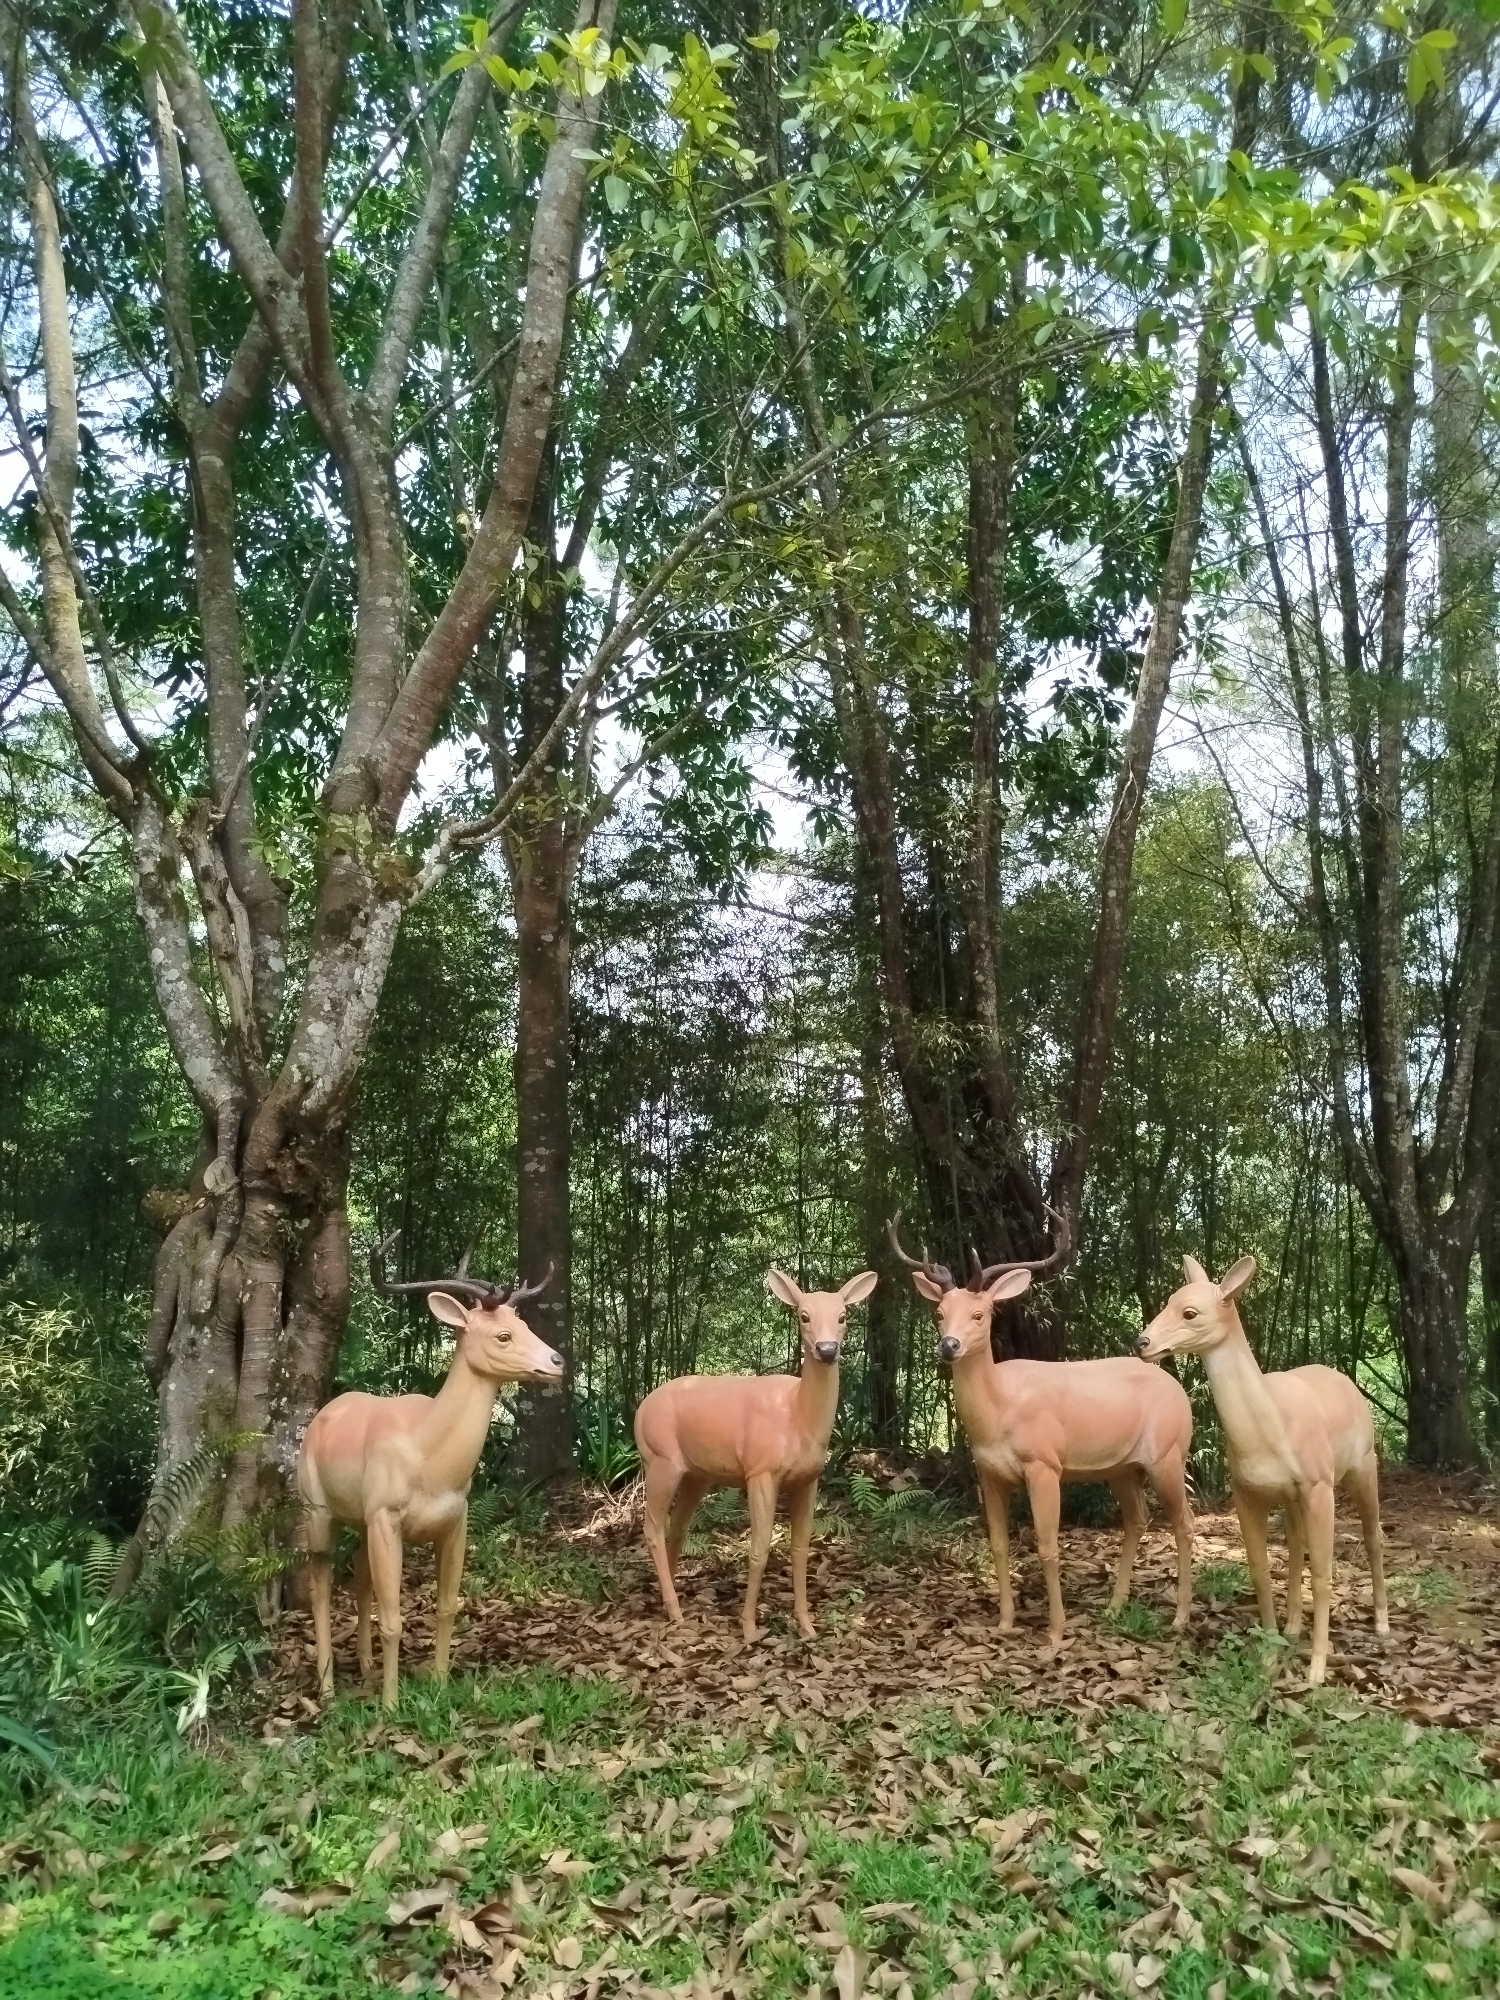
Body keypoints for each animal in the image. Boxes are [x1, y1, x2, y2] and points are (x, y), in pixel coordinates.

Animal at [297, 1232, 563, 1707]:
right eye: (503, 1335)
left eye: (525, 1325)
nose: (558, 1362)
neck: (429, 1460)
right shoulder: (387, 1516)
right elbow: (393, 1620)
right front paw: (390, 1704)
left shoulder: (454, 1521)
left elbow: (445, 1606)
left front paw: (438, 1686)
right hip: (316, 1509)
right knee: (321, 1586)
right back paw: (327, 1690)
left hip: (361, 1520)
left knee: (359, 1578)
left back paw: (365, 1669)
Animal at [633, 1266, 878, 1642]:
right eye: (803, 1315)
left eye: (843, 1316)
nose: (826, 1349)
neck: (797, 1417)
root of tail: (639, 1411)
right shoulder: (761, 1471)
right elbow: (759, 1548)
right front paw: (748, 1627)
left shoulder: (808, 1479)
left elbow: (800, 1548)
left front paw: (807, 1626)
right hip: (660, 1458)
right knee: (652, 1526)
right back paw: (675, 1612)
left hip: (696, 1473)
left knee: (677, 1527)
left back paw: (667, 1597)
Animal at [890, 1215, 1194, 1659]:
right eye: (940, 1313)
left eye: (981, 1314)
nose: (949, 1344)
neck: (999, 1411)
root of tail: (1182, 1393)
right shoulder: (989, 1474)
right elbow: (998, 1544)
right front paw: (1004, 1623)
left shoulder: (1044, 1463)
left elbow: (1048, 1546)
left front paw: (1055, 1633)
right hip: (1123, 1466)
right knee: (1137, 1519)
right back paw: (1115, 1605)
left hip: (1170, 1452)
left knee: (1184, 1522)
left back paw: (1181, 1617)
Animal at [1136, 1254, 1387, 1687]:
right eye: (1167, 1301)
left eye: (1190, 1312)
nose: (1142, 1343)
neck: (1272, 1428)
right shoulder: (1246, 1490)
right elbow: (1260, 1570)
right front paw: (1269, 1659)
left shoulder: (1319, 1485)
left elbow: (1323, 1572)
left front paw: (1316, 1671)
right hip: (1292, 1496)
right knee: (1296, 1546)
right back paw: (1292, 1626)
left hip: (1363, 1463)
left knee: (1373, 1534)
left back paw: (1383, 1624)